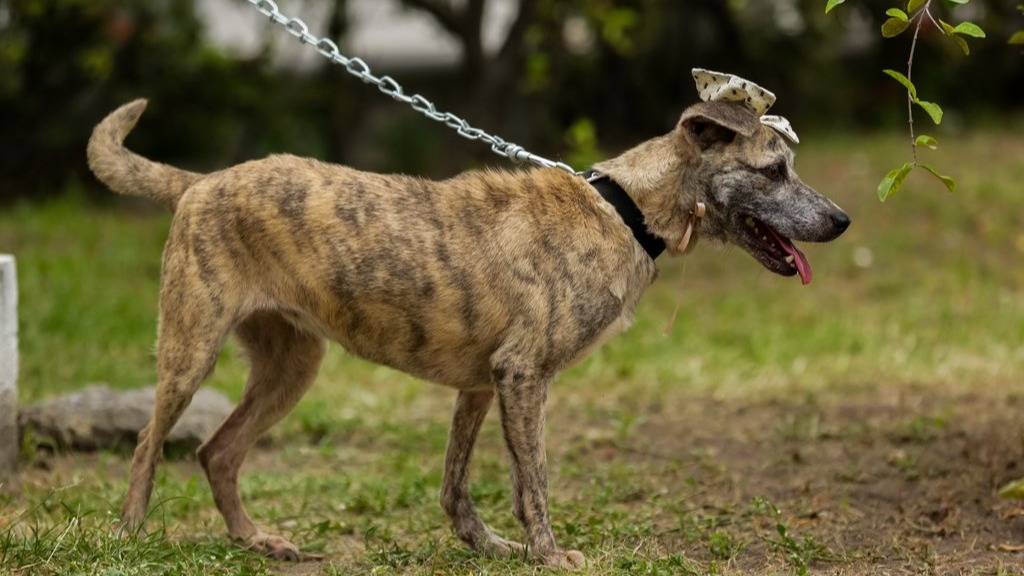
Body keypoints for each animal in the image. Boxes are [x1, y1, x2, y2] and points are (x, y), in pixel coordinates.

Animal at [86, 73, 847, 561]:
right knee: (148, 445)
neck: (624, 209)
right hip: (190, 350)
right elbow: (533, 481)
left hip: (291, 367)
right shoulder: (523, 377)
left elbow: (457, 483)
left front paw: (487, 546)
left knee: (216, 452)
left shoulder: (482, 384)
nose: (843, 221)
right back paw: (129, 535)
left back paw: (256, 541)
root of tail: (200, 182)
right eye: (774, 170)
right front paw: (549, 553)